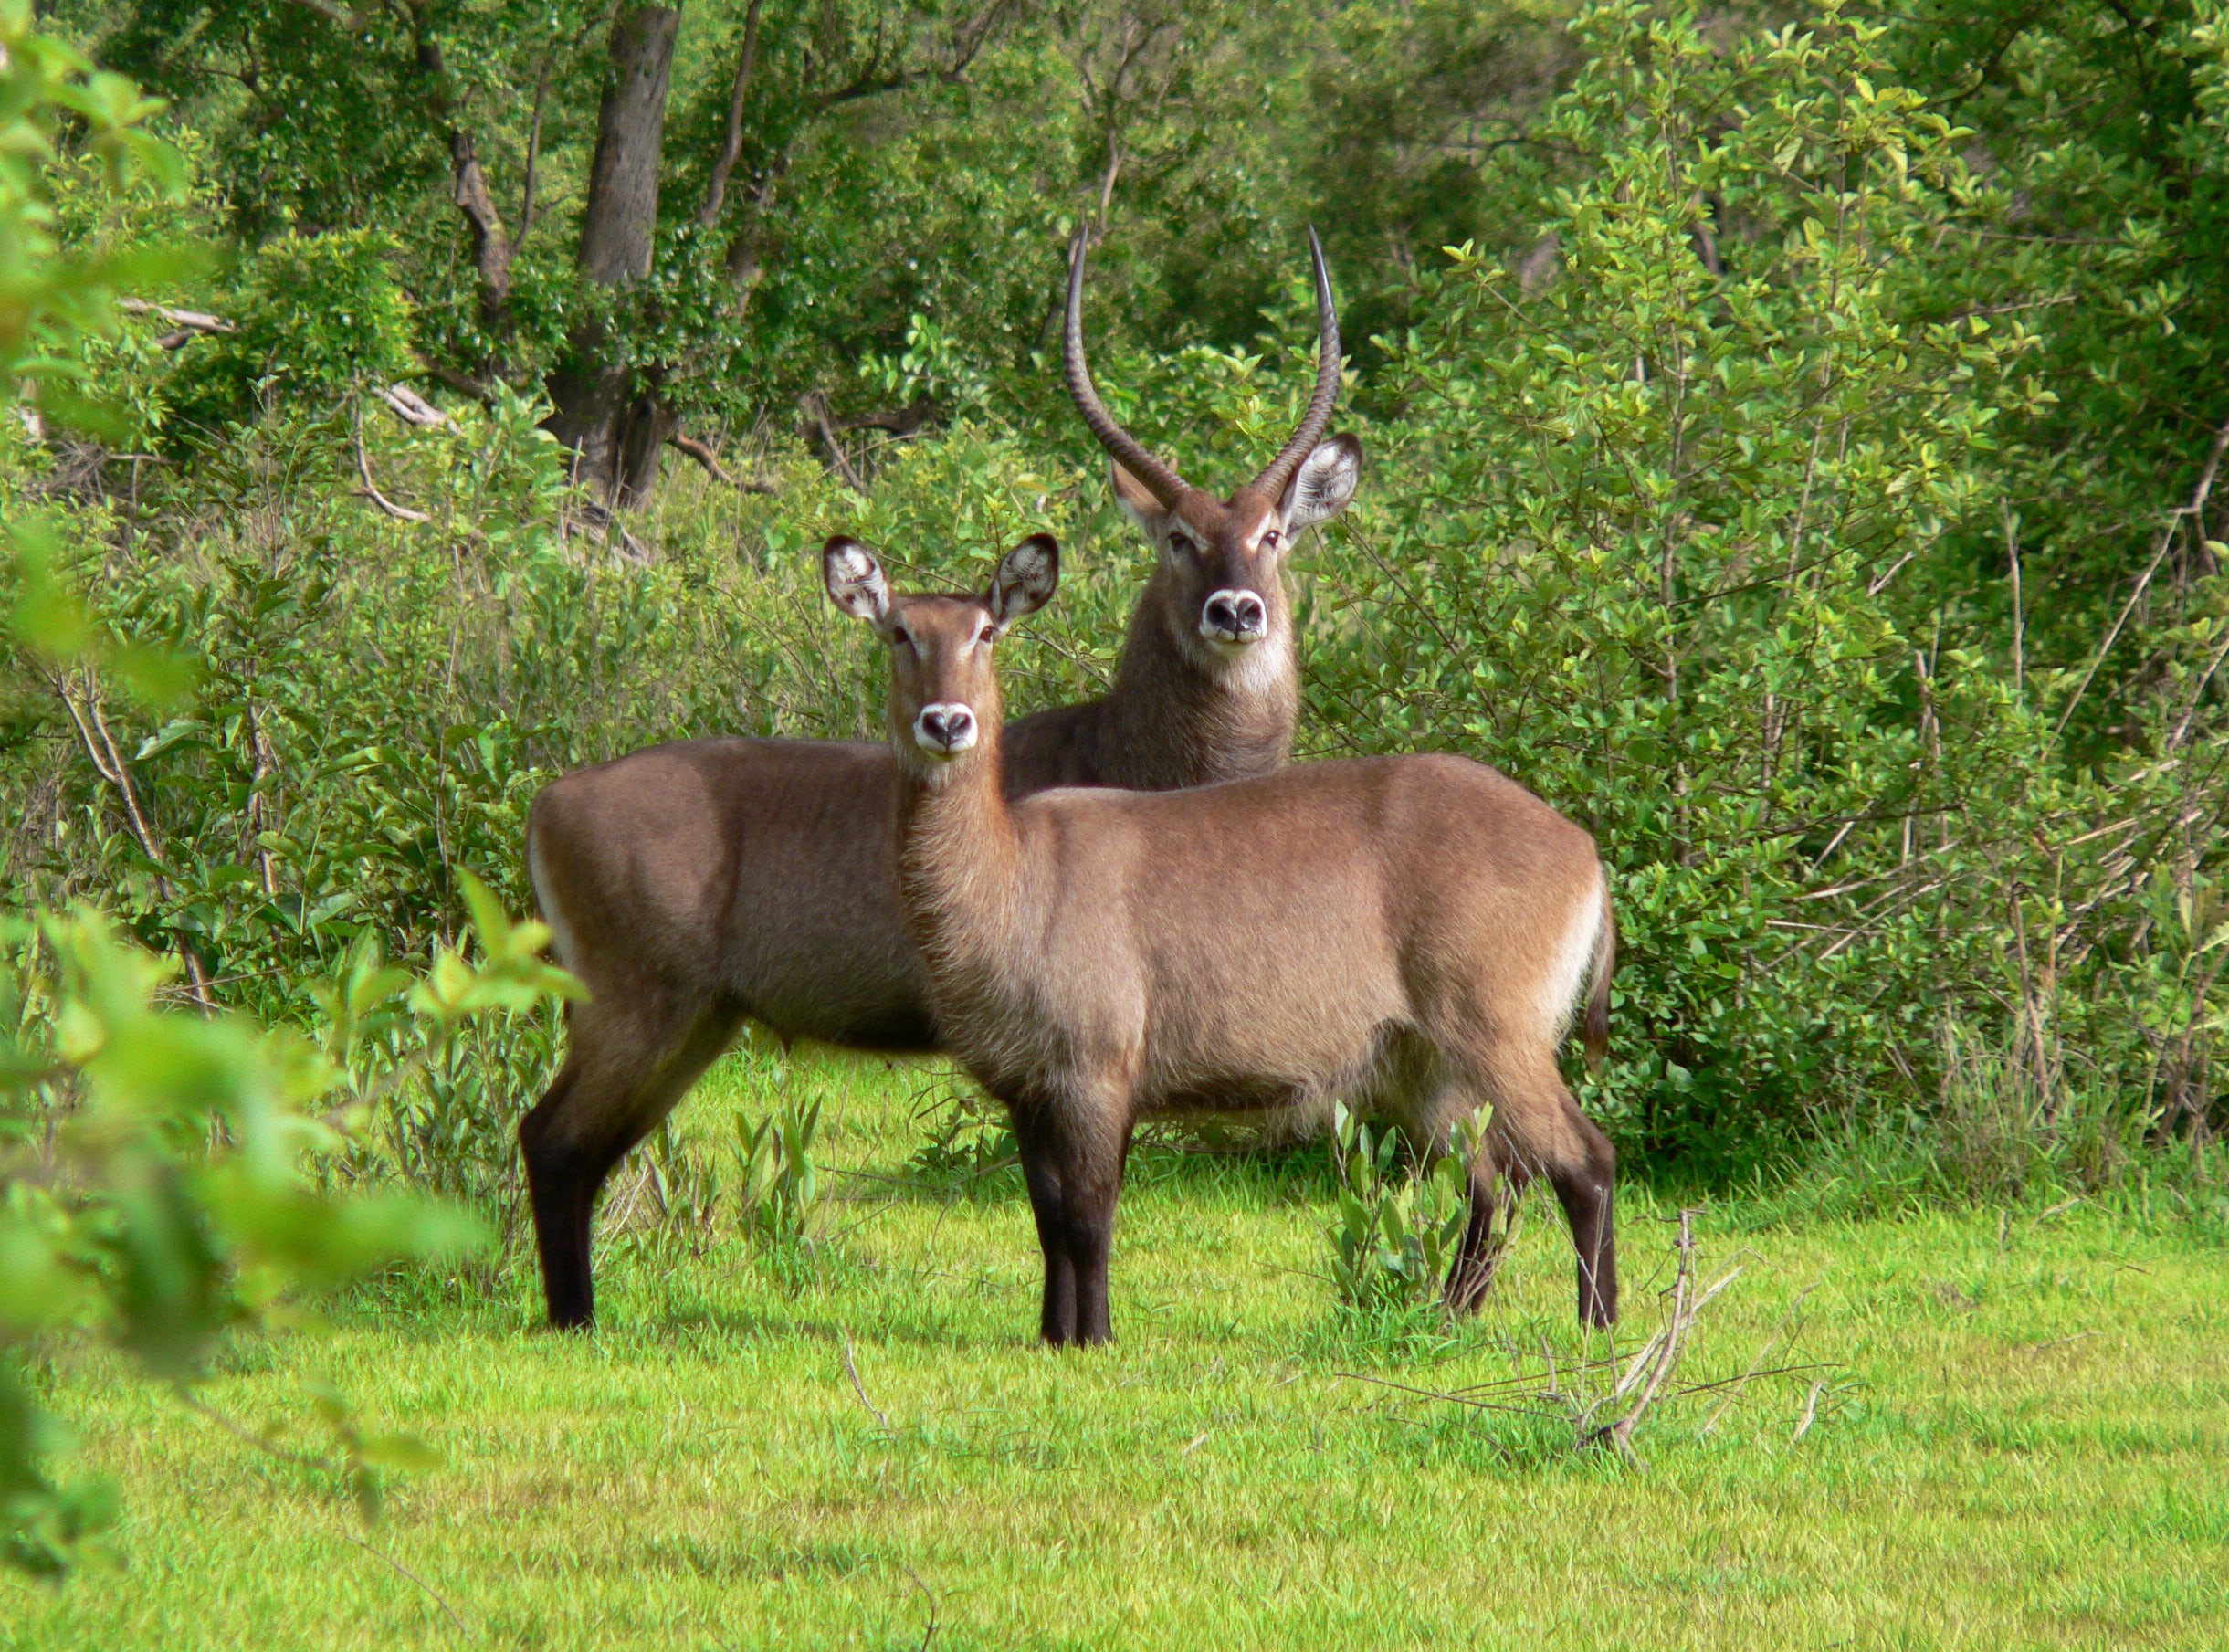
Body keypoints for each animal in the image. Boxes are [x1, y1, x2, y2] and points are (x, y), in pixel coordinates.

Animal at [520, 230, 1363, 1328]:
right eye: (1178, 538)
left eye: (1272, 535)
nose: (1234, 610)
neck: (1135, 750)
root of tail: (551, 796)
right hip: (634, 1005)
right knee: (551, 1142)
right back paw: (572, 1324)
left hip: (694, 1022)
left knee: (582, 1151)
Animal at [823, 533, 1618, 1346]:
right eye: (899, 632)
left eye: (985, 632)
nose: (946, 722)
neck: (1013, 876)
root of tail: (1582, 848)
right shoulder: (1026, 1086)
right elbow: (1048, 1221)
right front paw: (1051, 1337)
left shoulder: (1097, 1070)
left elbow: (1089, 1216)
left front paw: (1095, 1339)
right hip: (1421, 1064)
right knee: (1492, 1177)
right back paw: (1449, 1314)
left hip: (1498, 1031)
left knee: (1582, 1159)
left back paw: (1597, 1325)